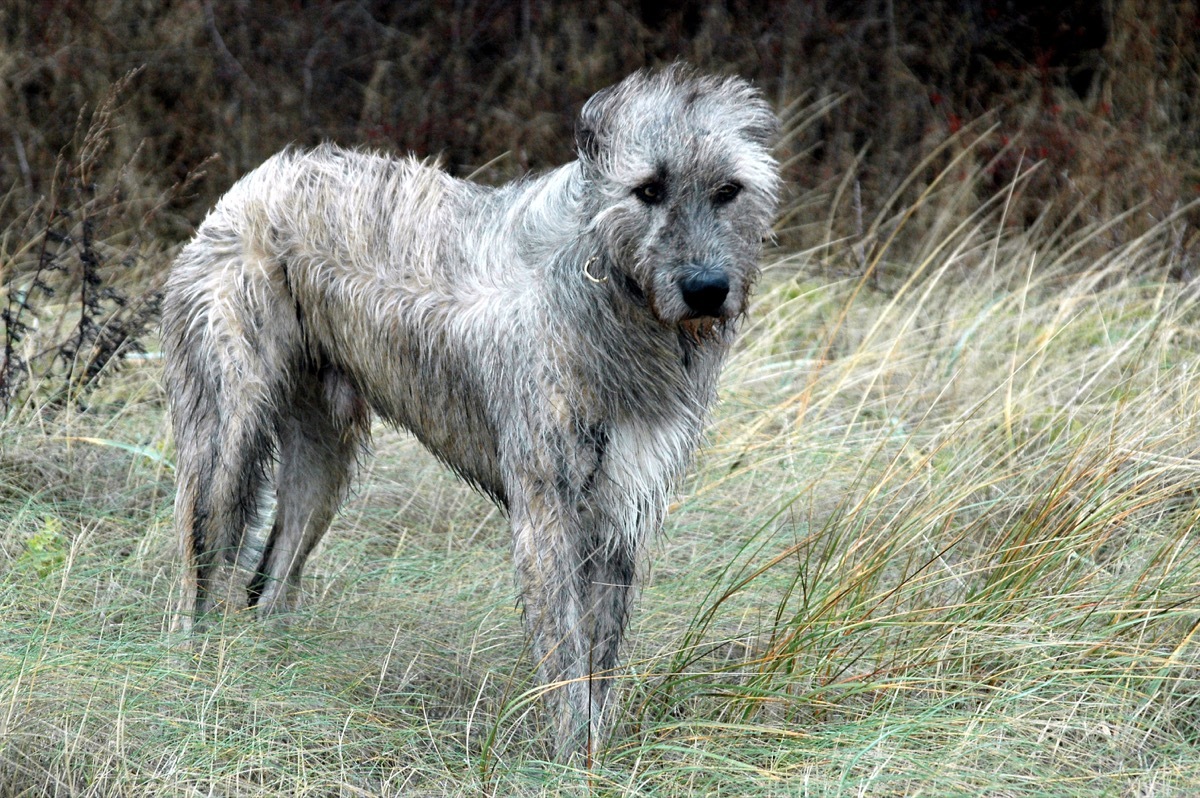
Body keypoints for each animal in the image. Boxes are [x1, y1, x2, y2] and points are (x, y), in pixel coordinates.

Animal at [164, 65, 782, 758]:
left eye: (729, 190)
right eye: (648, 189)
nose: (707, 290)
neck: (607, 290)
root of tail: (253, 182)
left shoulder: (619, 512)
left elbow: (601, 659)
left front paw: (599, 758)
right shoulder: (547, 512)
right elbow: (568, 658)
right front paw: (567, 760)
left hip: (323, 464)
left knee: (274, 576)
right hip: (227, 440)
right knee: (201, 566)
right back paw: (190, 672)